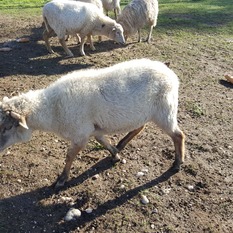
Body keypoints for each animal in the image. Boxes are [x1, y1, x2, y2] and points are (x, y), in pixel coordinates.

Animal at [0, 59, 186, 188]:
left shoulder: (80, 134)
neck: (52, 109)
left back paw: (177, 164)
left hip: (165, 110)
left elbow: (69, 156)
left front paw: (62, 179)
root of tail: (167, 69)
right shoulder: (94, 129)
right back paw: (121, 143)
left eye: (8, 127)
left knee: (178, 135)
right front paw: (115, 154)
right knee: (140, 127)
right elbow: (102, 141)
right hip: (143, 112)